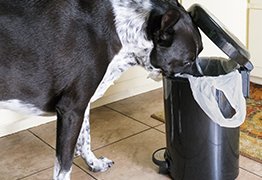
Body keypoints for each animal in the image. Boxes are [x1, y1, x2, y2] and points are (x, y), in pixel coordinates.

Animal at [0, 0, 203, 179]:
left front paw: (94, 163)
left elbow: (85, 138)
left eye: (199, 53)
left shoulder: (80, 107)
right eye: (188, 61)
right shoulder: (70, 110)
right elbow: (63, 168)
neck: (121, 28)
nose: (203, 80)